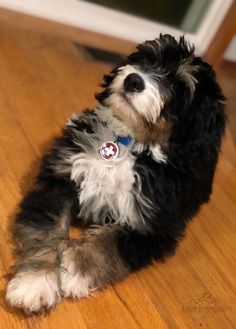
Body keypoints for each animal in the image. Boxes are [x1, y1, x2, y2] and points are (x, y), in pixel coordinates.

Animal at [6, 34, 226, 312]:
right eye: (146, 59)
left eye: (177, 86)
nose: (134, 80)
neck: (129, 143)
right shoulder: (60, 179)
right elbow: (48, 230)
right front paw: (36, 282)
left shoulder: (156, 226)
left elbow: (111, 240)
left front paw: (76, 269)